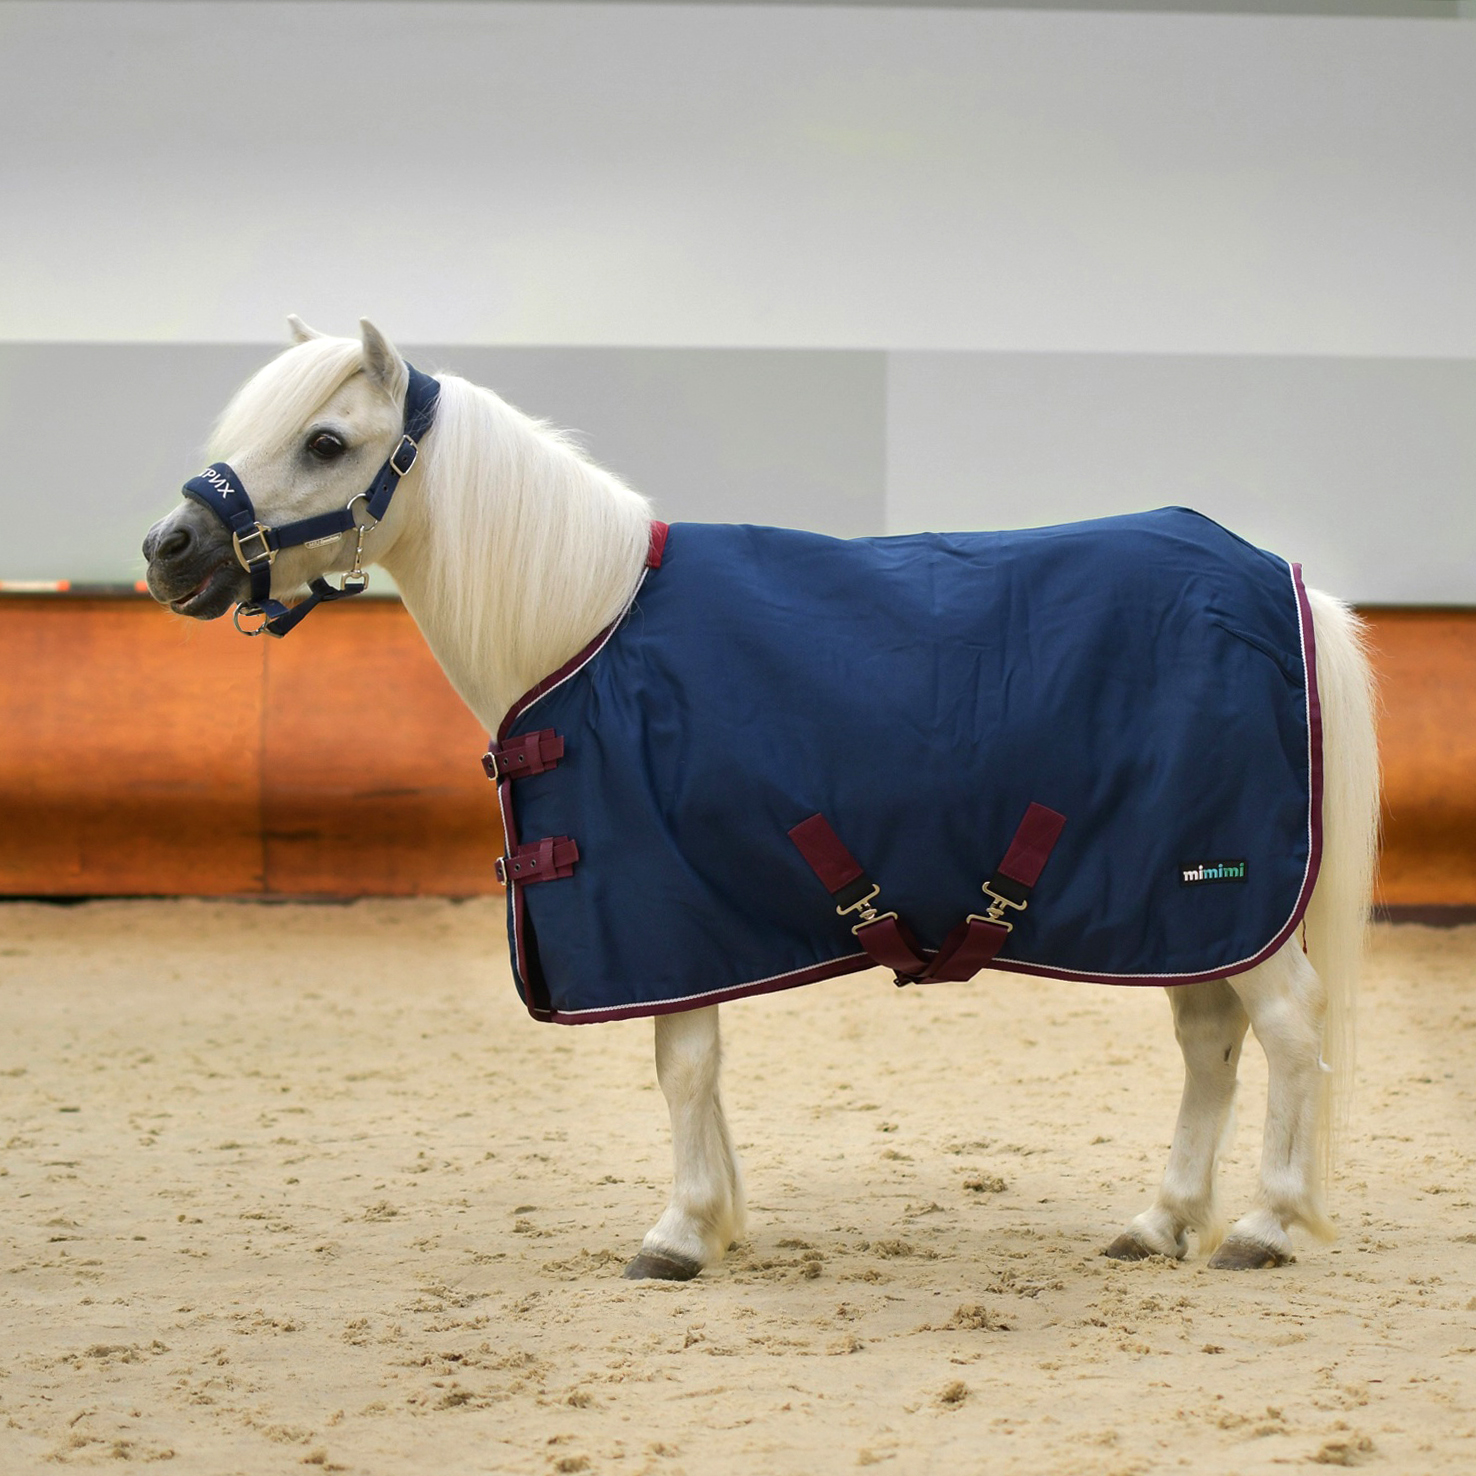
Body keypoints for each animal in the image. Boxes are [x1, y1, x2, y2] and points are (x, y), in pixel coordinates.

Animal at [141, 319, 1379, 1281]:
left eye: (326, 441)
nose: (170, 549)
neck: (586, 624)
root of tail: (1278, 580)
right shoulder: (697, 921)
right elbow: (697, 1065)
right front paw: (717, 1219)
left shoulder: (666, 904)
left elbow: (682, 1065)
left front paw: (681, 1235)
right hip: (1190, 907)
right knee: (1210, 1043)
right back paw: (1161, 1222)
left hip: (1224, 893)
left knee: (1286, 1031)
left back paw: (1265, 1226)